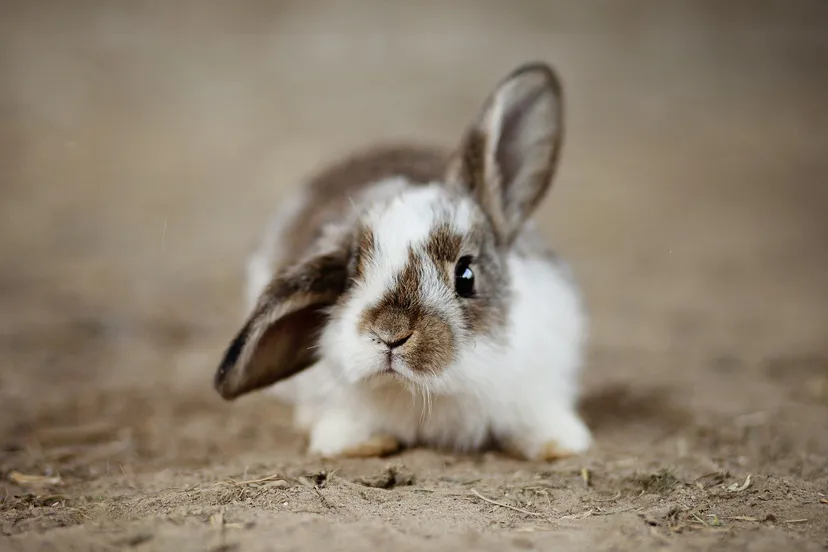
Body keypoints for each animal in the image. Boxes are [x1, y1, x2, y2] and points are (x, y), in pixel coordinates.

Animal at [213, 61, 593, 461]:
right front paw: (361, 444)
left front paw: (559, 445)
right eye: (351, 276)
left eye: (466, 275)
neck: (431, 394)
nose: (390, 334)